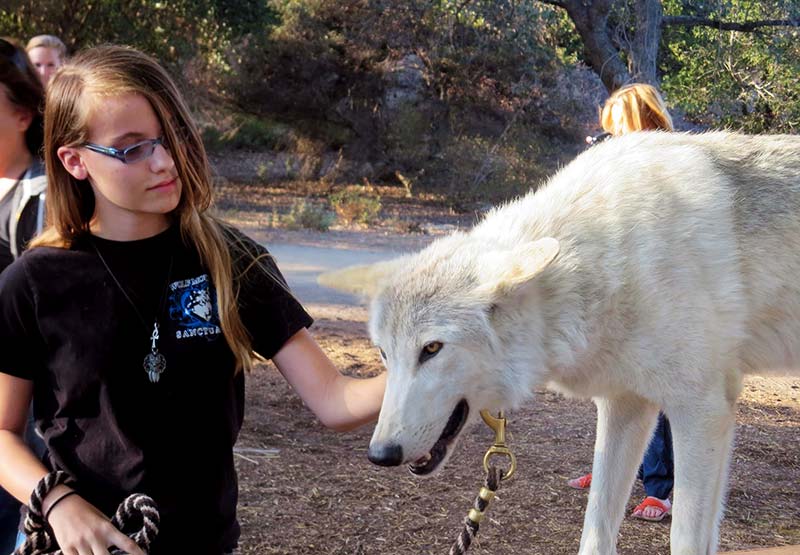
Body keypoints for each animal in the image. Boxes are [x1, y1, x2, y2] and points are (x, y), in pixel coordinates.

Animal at [318, 131, 800, 555]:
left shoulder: (701, 410)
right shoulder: (626, 405)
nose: (381, 454)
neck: (610, 261)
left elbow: (685, 539)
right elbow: (596, 531)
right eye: (384, 353)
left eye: (432, 349)